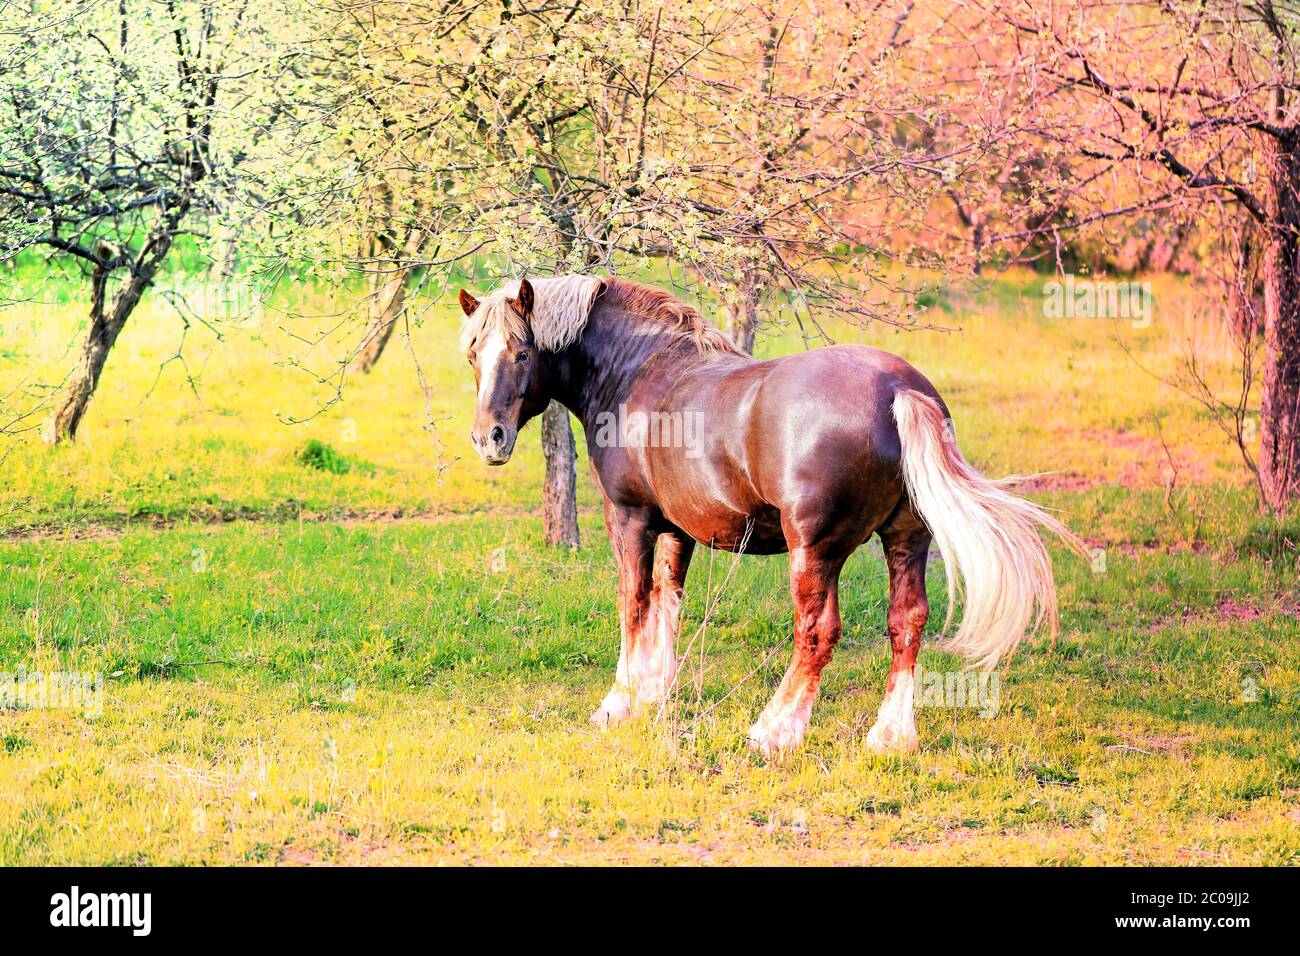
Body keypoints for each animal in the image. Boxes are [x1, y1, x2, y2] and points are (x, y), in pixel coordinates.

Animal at [458, 274, 1085, 754]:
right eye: (473, 354)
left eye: (522, 352)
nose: (489, 439)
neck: (641, 374)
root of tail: (898, 390)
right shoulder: (679, 528)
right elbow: (668, 603)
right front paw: (655, 693)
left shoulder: (631, 518)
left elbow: (633, 604)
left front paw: (620, 702)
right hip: (906, 538)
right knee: (906, 622)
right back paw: (890, 735)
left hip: (814, 550)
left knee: (817, 632)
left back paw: (776, 729)